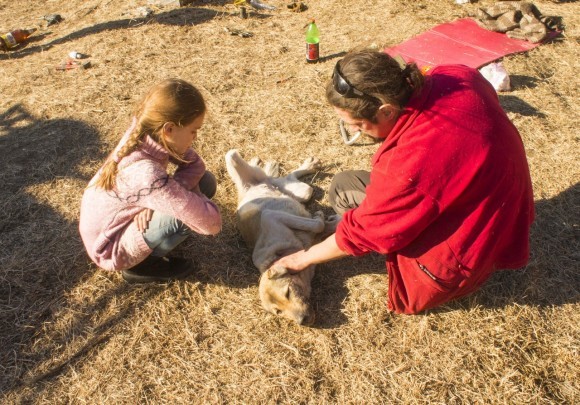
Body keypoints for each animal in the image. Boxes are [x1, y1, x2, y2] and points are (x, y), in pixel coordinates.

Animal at [225, 149, 338, 326]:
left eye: (288, 293)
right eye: (279, 312)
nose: (302, 320)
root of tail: (247, 189)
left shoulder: (270, 217)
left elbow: (318, 225)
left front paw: (320, 217)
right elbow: (324, 227)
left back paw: (307, 165)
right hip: (298, 192)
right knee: (288, 178)